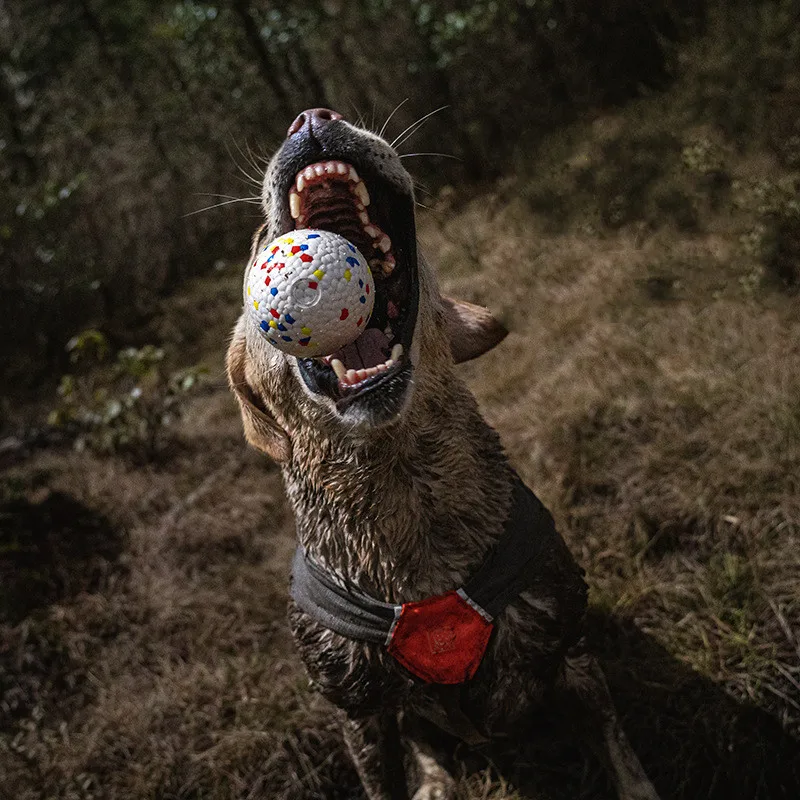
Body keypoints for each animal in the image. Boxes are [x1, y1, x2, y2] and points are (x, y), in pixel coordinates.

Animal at [227, 108, 660, 800]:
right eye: (256, 241)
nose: (313, 117)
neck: (403, 488)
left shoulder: (572, 644)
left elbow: (618, 748)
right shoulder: (358, 709)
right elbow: (386, 766)